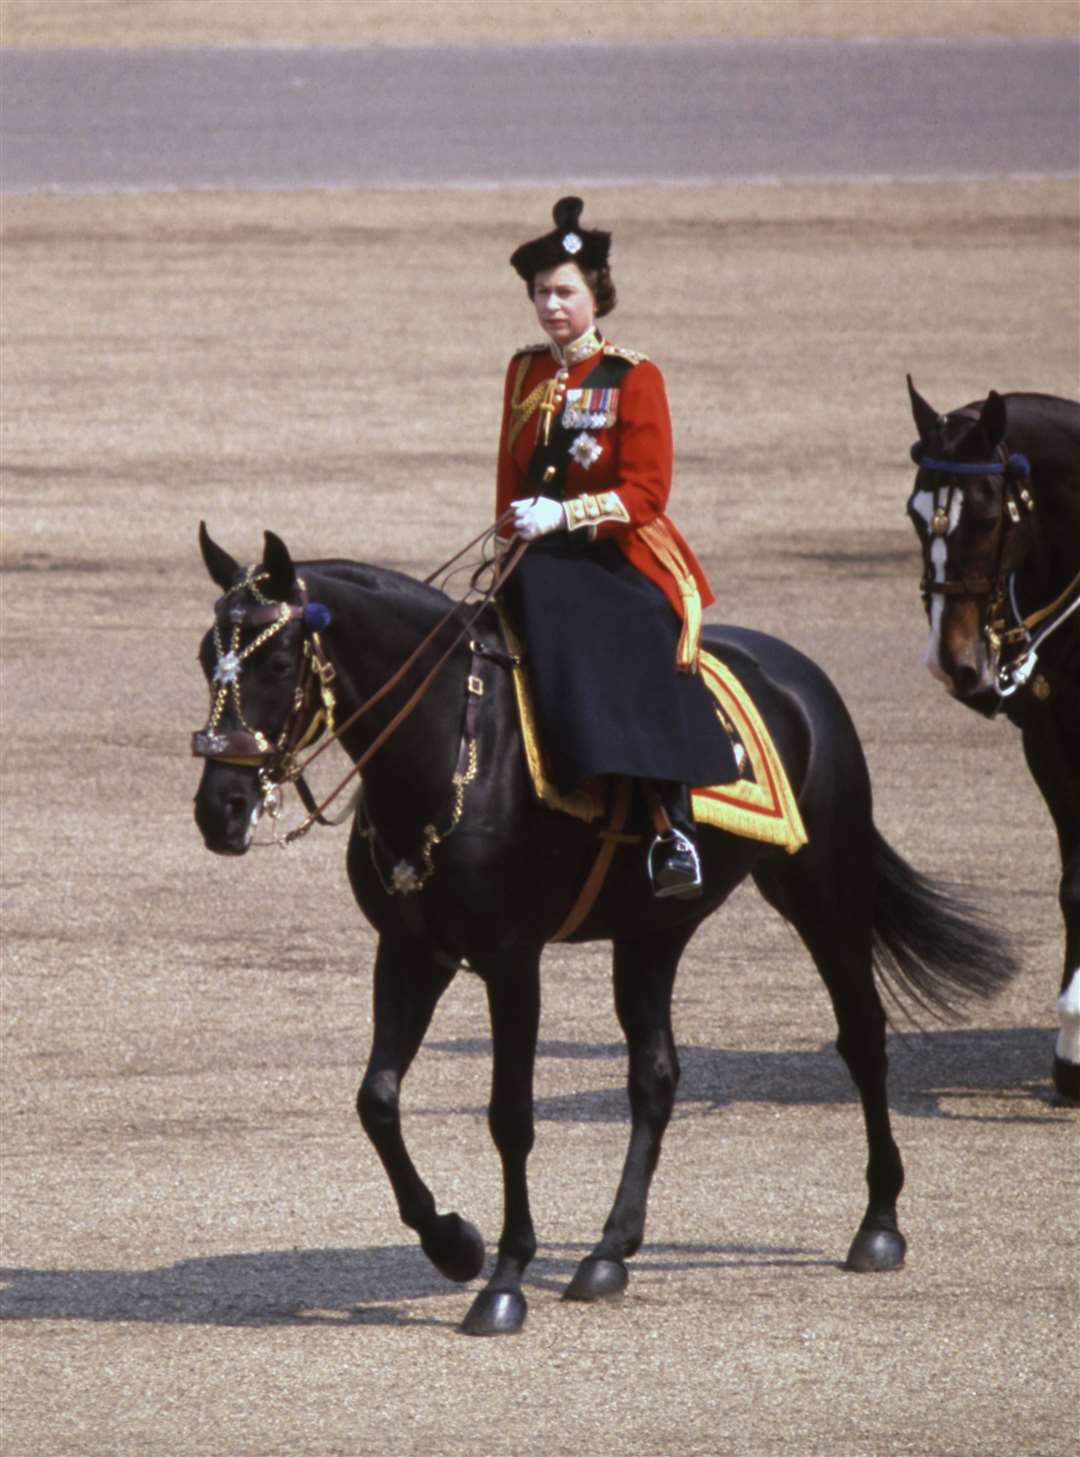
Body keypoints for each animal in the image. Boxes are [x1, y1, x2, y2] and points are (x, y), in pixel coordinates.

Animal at [192, 521, 1008, 1334]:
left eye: (279, 661)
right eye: (207, 657)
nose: (218, 810)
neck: (452, 750)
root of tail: (795, 674)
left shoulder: (510, 959)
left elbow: (510, 1115)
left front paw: (505, 1279)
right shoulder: (411, 950)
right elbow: (378, 1100)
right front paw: (453, 1243)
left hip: (821, 885)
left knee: (862, 1034)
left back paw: (879, 1224)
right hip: (654, 929)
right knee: (655, 1074)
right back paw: (610, 1252)